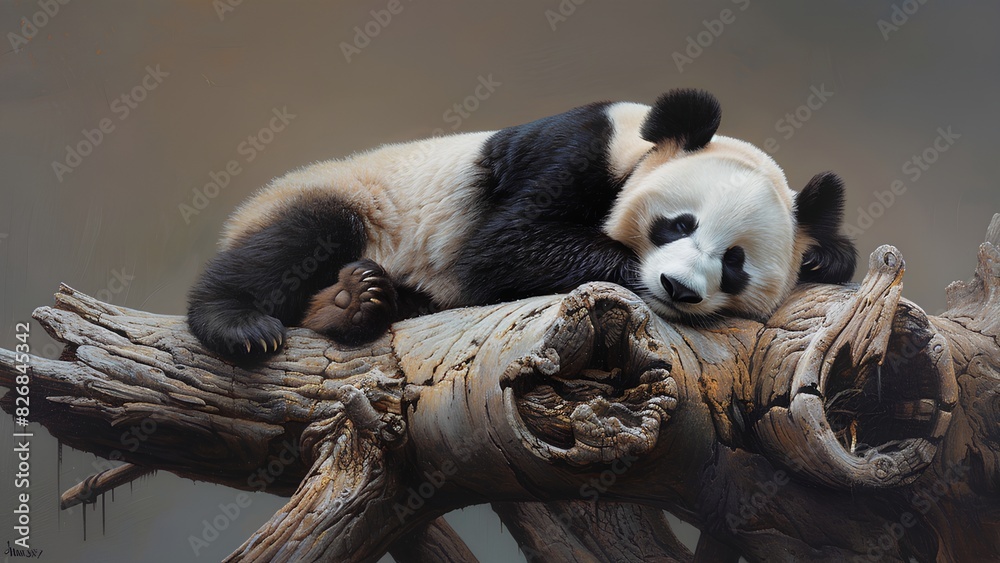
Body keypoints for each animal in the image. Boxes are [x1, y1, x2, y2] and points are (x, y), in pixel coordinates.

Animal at [187, 89, 856, 359]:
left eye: (735, 263)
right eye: (677, 225)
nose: (679, 289)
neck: (636, 149)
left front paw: (827, 256)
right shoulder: (571, 152)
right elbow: (508, 246)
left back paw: (351, 304)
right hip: (356, 194)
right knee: (296, 238)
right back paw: (243, 322)